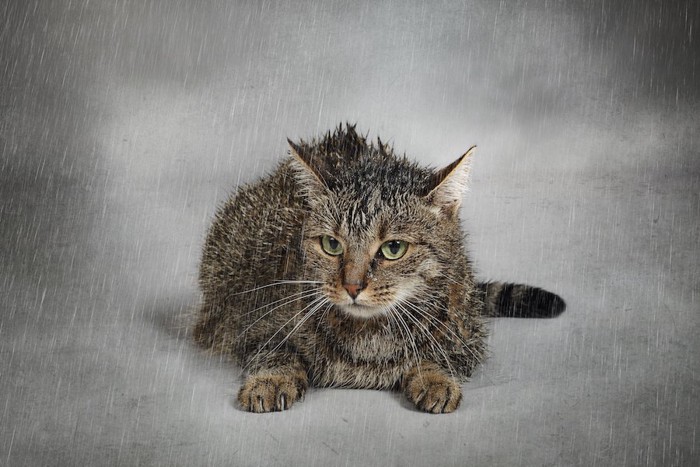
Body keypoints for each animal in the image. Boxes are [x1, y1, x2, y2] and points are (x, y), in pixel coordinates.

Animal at [194, 123, 568, 414]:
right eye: (331, 245)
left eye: (393, 249)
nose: (352, 286)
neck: (368, 341)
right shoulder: (251, 322)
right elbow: (275, 352)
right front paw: (270, 381)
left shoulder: (468, 334)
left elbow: (441, 357)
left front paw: (435, 379)